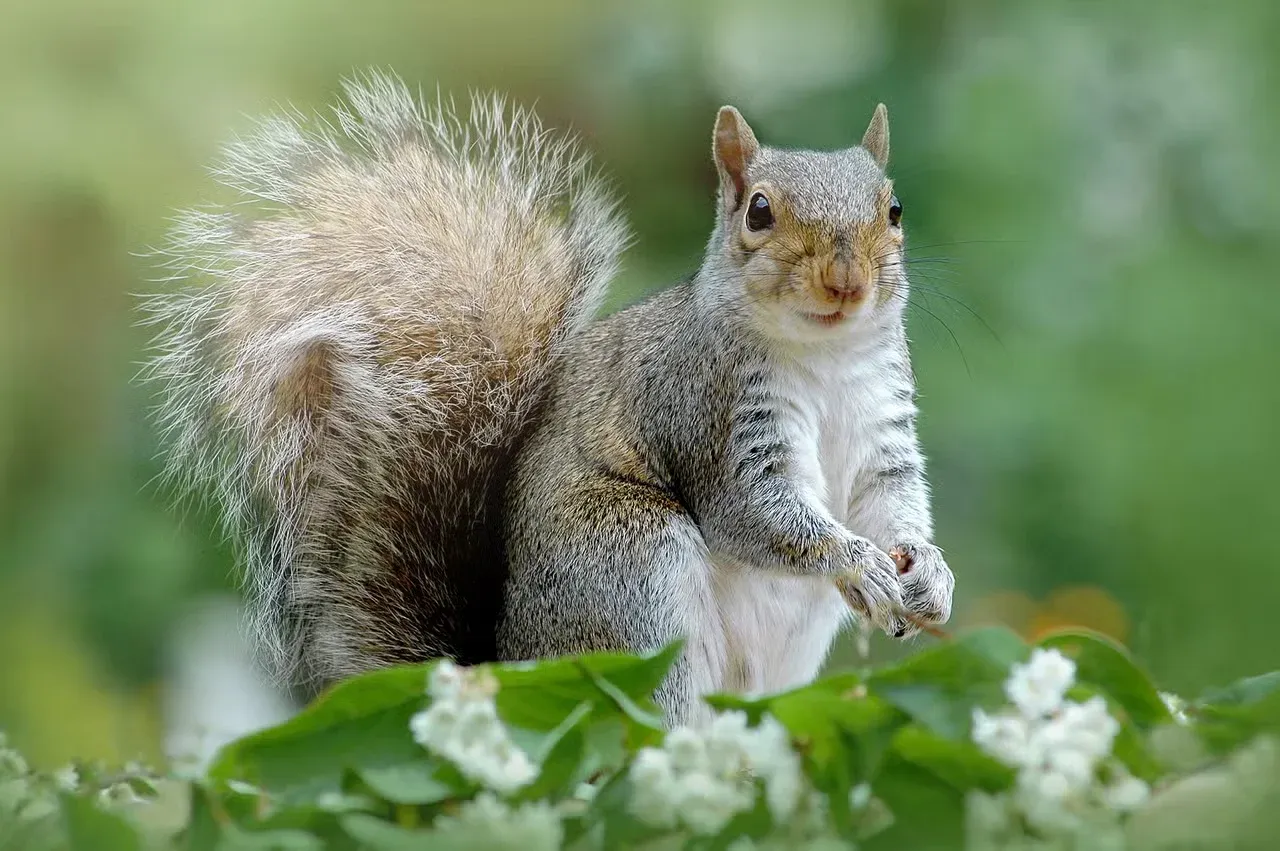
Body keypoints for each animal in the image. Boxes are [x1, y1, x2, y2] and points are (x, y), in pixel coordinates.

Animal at [143, 72, 954, 725]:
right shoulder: (708, 412)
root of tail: (509, 666)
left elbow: (892, 501)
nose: (846, 283)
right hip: (630, 575)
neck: (825, 360)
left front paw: (929, 573)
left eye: (894, 210)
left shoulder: (883, 431)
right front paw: (858, 561)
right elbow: (755, 513)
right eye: (758, 211)